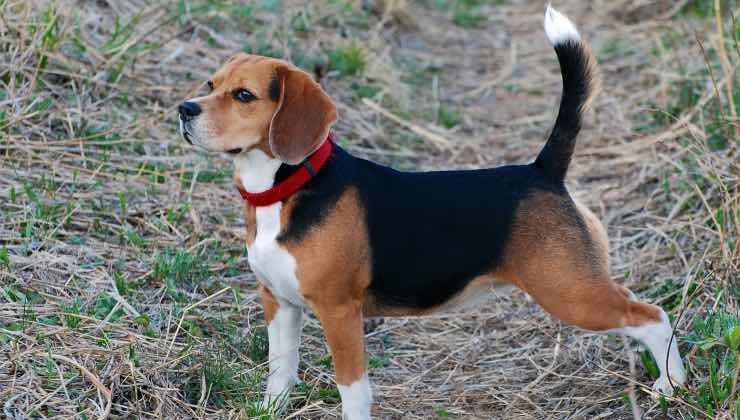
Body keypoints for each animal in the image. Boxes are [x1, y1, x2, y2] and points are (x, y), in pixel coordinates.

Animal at [179, 5, 688, 416]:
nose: (184, 109)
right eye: (211, 85)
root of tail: (542, 170)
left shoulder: (339, 312)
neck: (284, 187)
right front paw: (270, 410)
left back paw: (671, 386)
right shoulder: (279, 303)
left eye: (244, 96)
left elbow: (352, 390)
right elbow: (280, 372)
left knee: (652, 317)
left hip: (572, 293)